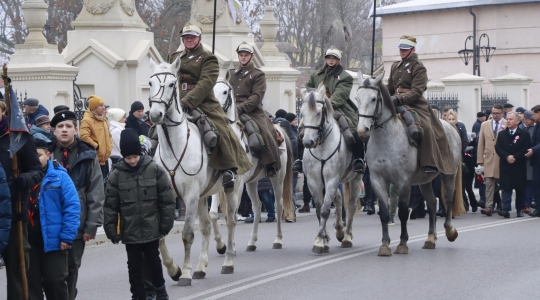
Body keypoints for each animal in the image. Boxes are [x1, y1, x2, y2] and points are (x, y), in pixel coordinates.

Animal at [150, 58, 245, 286]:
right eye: (150, 83)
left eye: (171, 84)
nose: (155, 114)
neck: (174, 147)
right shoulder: (168, 196)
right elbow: (160, 235)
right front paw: (173, 269)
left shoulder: (190, 195)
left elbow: (186, 234)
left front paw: (184, 273)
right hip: (204, 196)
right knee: (206, 226)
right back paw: (201, 267)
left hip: (233, 189)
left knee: (230, 221)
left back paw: (228, 261)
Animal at [212, 78, 294, 252]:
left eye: (225, 91)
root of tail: (278, 130)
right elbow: (214, 214)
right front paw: (222, 245)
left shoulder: (237, 185)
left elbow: (232, 215)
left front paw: (231, 246)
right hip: (252, 182)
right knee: (257, 207)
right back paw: (252, 242)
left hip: (278, 178)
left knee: (278, 205)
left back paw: (277, 240)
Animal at [300, 84, 362, 253]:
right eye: (302, 112)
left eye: (318, 112)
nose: (307, 142)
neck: (321, 146)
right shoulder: (314, 182)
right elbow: (319, 210)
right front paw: (323, 239)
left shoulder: (332, 179)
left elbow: (325, 210)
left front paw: (319, 242)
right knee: (339, 198)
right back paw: (339, 230)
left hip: (355, 177)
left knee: (351, 204)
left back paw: (346, 237)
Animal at [356, 73, 462, 255]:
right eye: (357, 98)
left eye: (373, 98)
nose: (362, 130)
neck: (386, 139)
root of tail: (450, 126)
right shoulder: (377, 180)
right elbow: (384, 213)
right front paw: (385, 245)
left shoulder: (403, 181)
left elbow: (404, 212)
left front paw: (403, 243)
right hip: (424, 181)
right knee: (432, 204)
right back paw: (430, 238)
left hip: (449, 174)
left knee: (448, 199)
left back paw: (450, 231)